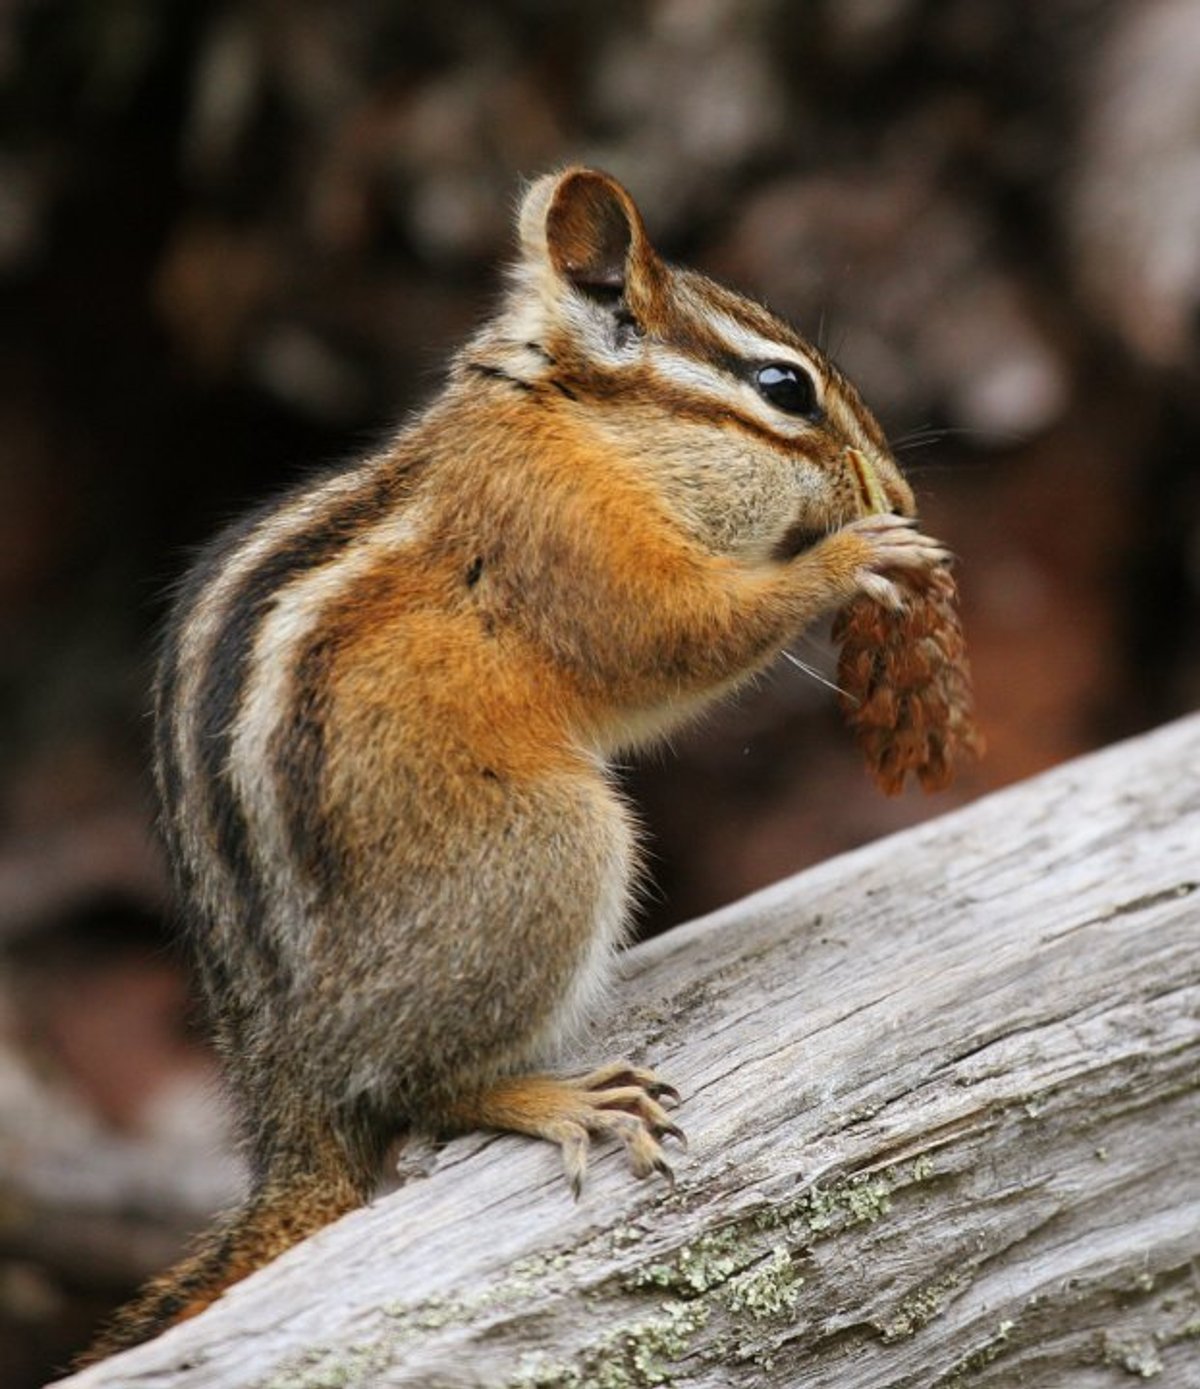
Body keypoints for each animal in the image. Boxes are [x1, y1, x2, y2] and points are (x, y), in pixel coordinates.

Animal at [80, 166, 947, 1363]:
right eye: (786, 388)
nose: (899, 493)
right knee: (418, 1093)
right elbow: (673, 640)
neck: (569, 422)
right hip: (554, 845)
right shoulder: (569, 540)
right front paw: (858, 558)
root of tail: (292, 1099)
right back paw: (560, 1101)